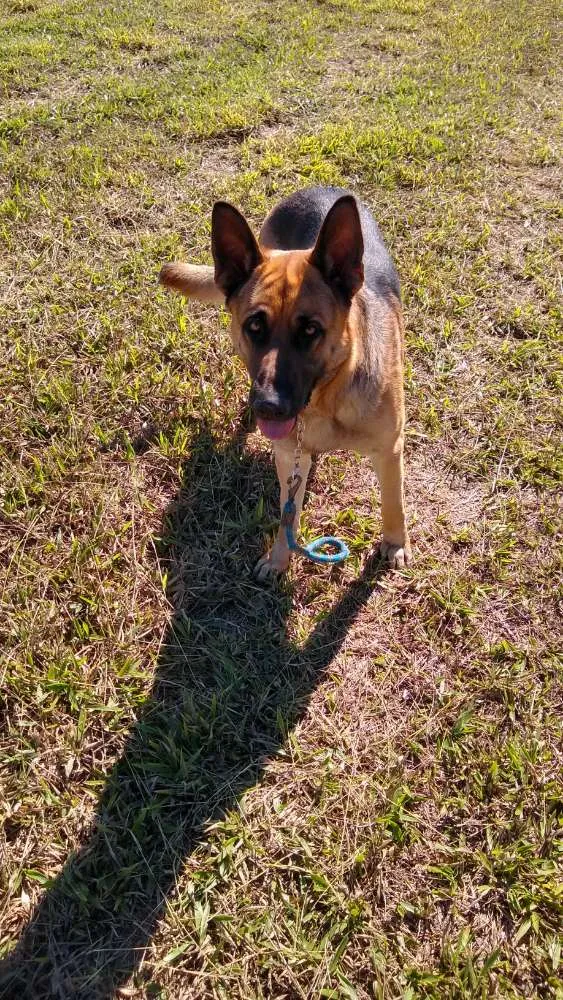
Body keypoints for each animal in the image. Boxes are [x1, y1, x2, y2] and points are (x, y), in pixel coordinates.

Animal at [159, 187, 410, 580]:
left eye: (310, 330)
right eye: (254, 326)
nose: (268, 406)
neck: (327, 400)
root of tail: (318, 188)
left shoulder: (390, 450)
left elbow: (393, 503)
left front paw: (396, 543)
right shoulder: (291, 456)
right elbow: (286, 515)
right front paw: (280, 558)